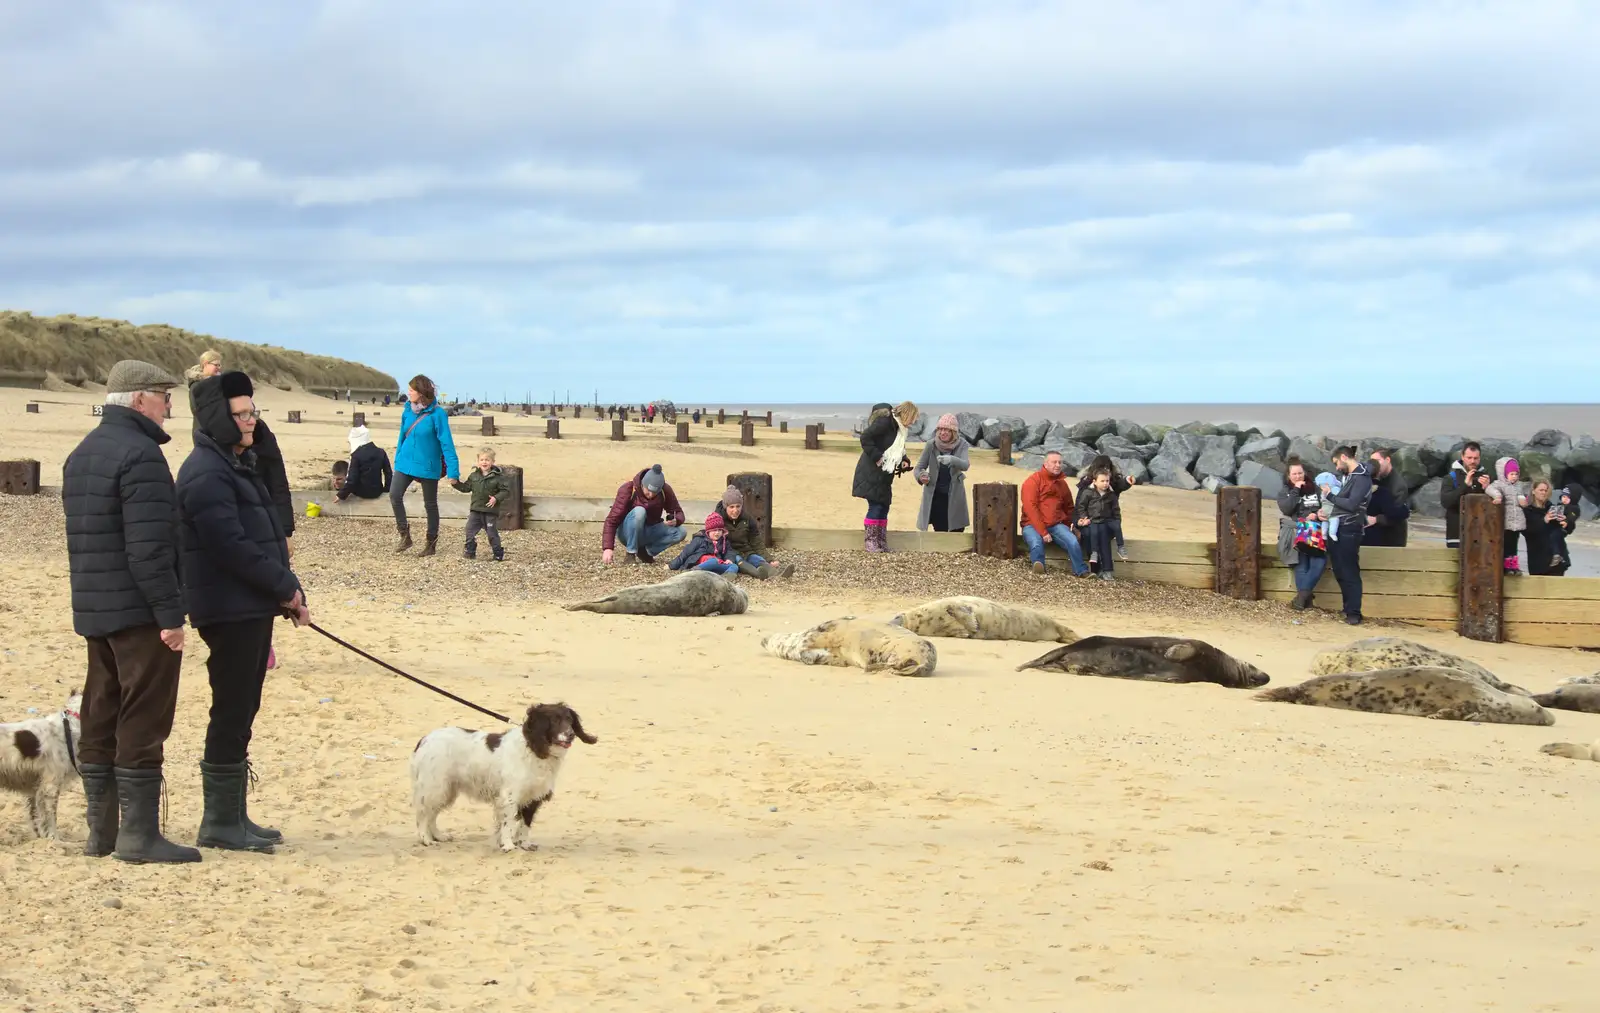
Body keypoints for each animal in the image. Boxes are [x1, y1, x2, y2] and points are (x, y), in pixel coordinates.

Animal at [0, 688, 82, 838]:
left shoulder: (36, 788)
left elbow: (37, 818)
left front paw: (40, 837)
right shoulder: (50, 786)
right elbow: (50, 817)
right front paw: (54, 838)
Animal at [409, 697, 598, 851]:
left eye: (569, 720)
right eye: (554, 720)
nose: (571, 734)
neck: (534, 749)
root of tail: (424, 739)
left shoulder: (533, 797)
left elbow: (525, 824)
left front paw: (524, 844)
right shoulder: (509, 796)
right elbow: (508, 823)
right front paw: (507, 845)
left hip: (446, 789)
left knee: (432, 814)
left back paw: (439, 836)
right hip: (435, 787)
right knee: (423, 814)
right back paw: (426, 839)